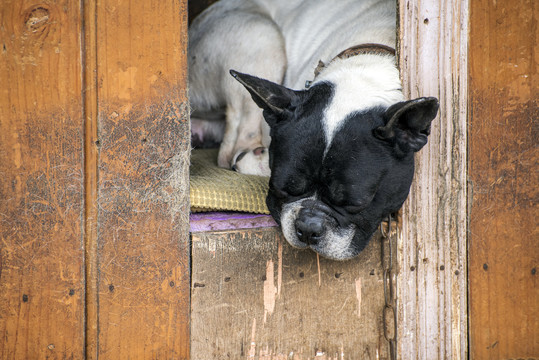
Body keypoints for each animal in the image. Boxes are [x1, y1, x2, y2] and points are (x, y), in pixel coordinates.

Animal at [189, 0, 438, 258]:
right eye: (280, 188)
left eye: (355, 204)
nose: (309, 227)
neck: (364, 69)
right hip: (260, 37)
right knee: (232, 149)